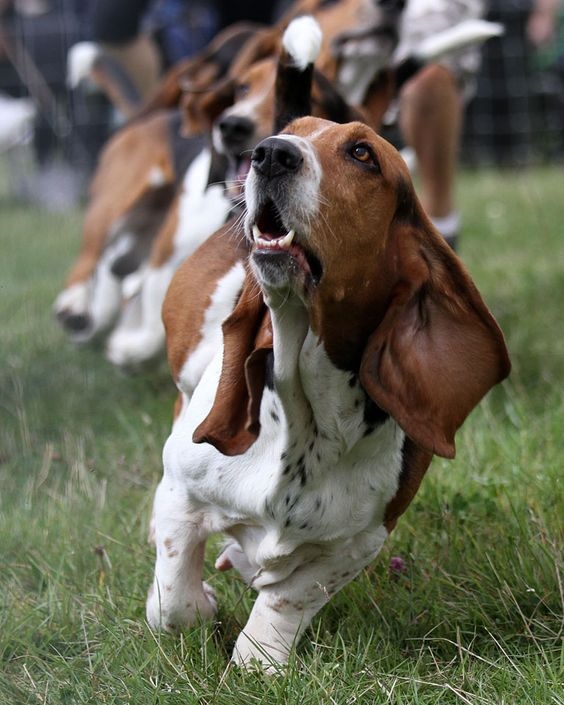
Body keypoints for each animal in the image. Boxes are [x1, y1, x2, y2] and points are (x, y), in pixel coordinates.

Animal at [145, 118, 512, 668]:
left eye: (362, 154)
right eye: (291, 131)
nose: (269, 153)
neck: (305, 414)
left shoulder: (359, 541)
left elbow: (288, 599)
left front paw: (260, 663)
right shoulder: (181, 492)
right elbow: (175, 602)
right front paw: (197, 605)